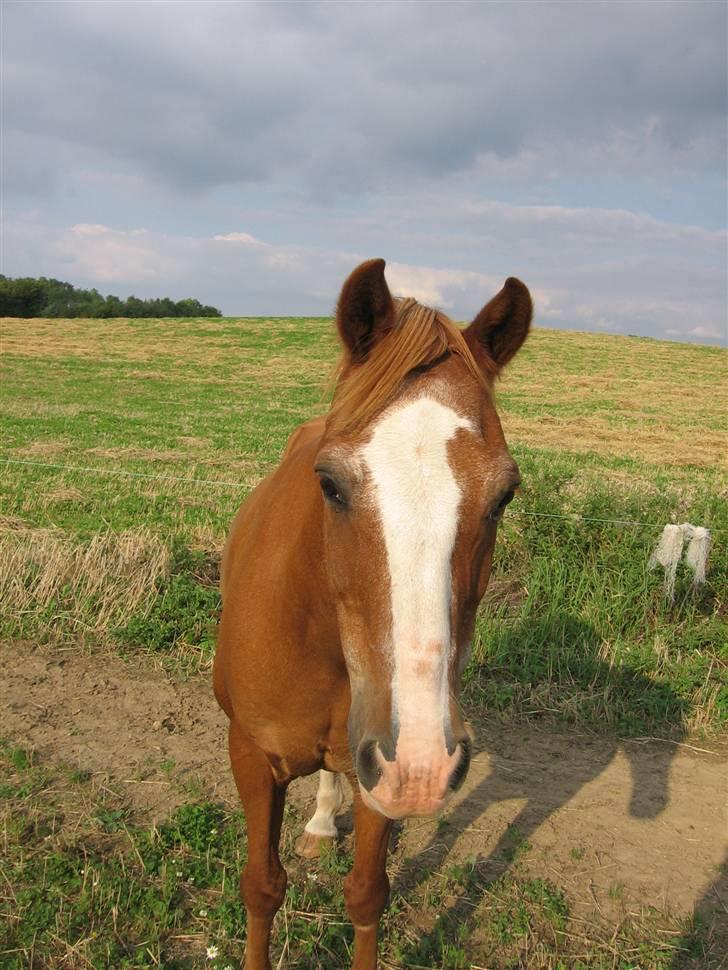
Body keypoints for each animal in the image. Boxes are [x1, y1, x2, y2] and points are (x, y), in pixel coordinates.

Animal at [213, 260, 532, 968]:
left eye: (504, 494)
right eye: (329, 484)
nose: (422, 761)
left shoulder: (382, 775)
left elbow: (365, 895)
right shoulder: (251, 756)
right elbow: (261, 886)